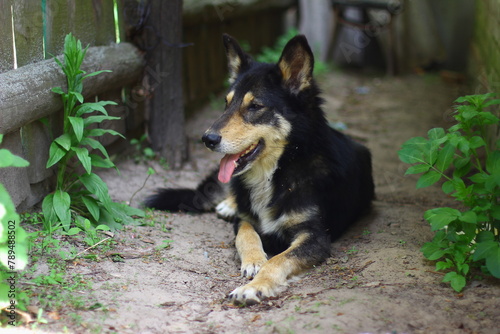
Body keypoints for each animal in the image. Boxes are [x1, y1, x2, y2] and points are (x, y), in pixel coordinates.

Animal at [143, 34, 374, 306]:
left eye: (254, 106)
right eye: (226, 104)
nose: (207, 139)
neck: (279, 170)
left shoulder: (315, 237)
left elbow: (278, 260)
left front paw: (254, 287)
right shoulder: (244, 219)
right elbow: (246, 235)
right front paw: (254, 261)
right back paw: (228, 203)